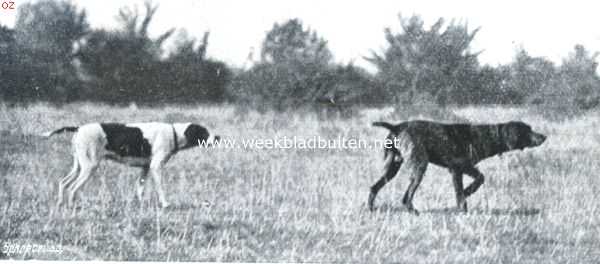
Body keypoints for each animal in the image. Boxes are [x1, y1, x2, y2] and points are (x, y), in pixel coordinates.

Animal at [43, 122, 220, 209]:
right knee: (73, 189)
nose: (217, 137)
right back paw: (72, 206)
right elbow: (160, 189)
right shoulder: (156, 168)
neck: (174, 133)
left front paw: (141, 205)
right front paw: (165, 204)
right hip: (89, 167)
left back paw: (60, 204)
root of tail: (79, 128)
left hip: (78, 167)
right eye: (204, 132)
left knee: (63, 183)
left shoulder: (146, 168)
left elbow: (140, 189)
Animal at [368, 119, 548, 214]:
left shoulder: (462, 169)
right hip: (419, 168)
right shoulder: (458, 169)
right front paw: (465, 198)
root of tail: (397, 126)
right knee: (407, 196)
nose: (544, 137)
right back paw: (413, 211)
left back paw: (371, 208)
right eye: (528, 130)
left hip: (392, 169)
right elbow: (468, 187)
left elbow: (476, 181)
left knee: (374, 187)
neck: (487, 136)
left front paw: (465, 199)